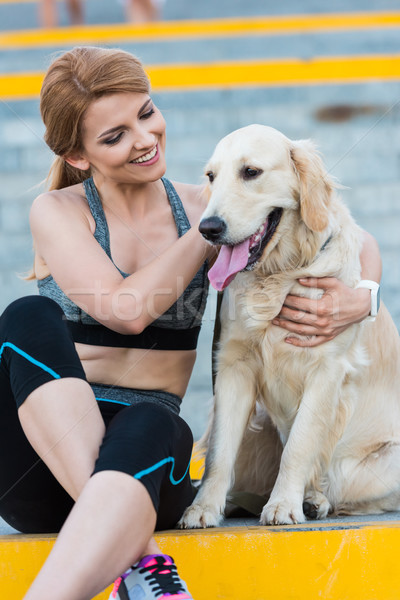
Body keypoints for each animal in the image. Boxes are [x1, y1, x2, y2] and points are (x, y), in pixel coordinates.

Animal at [180, 125, 400, 524]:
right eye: (211, 176)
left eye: (251, 172)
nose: (208, 227)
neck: (280, 273)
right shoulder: (234, 366)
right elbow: (220, 452)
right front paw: (203, 508)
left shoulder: (327, 370)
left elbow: (300, 444)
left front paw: (284, 504)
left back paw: (314, 500)